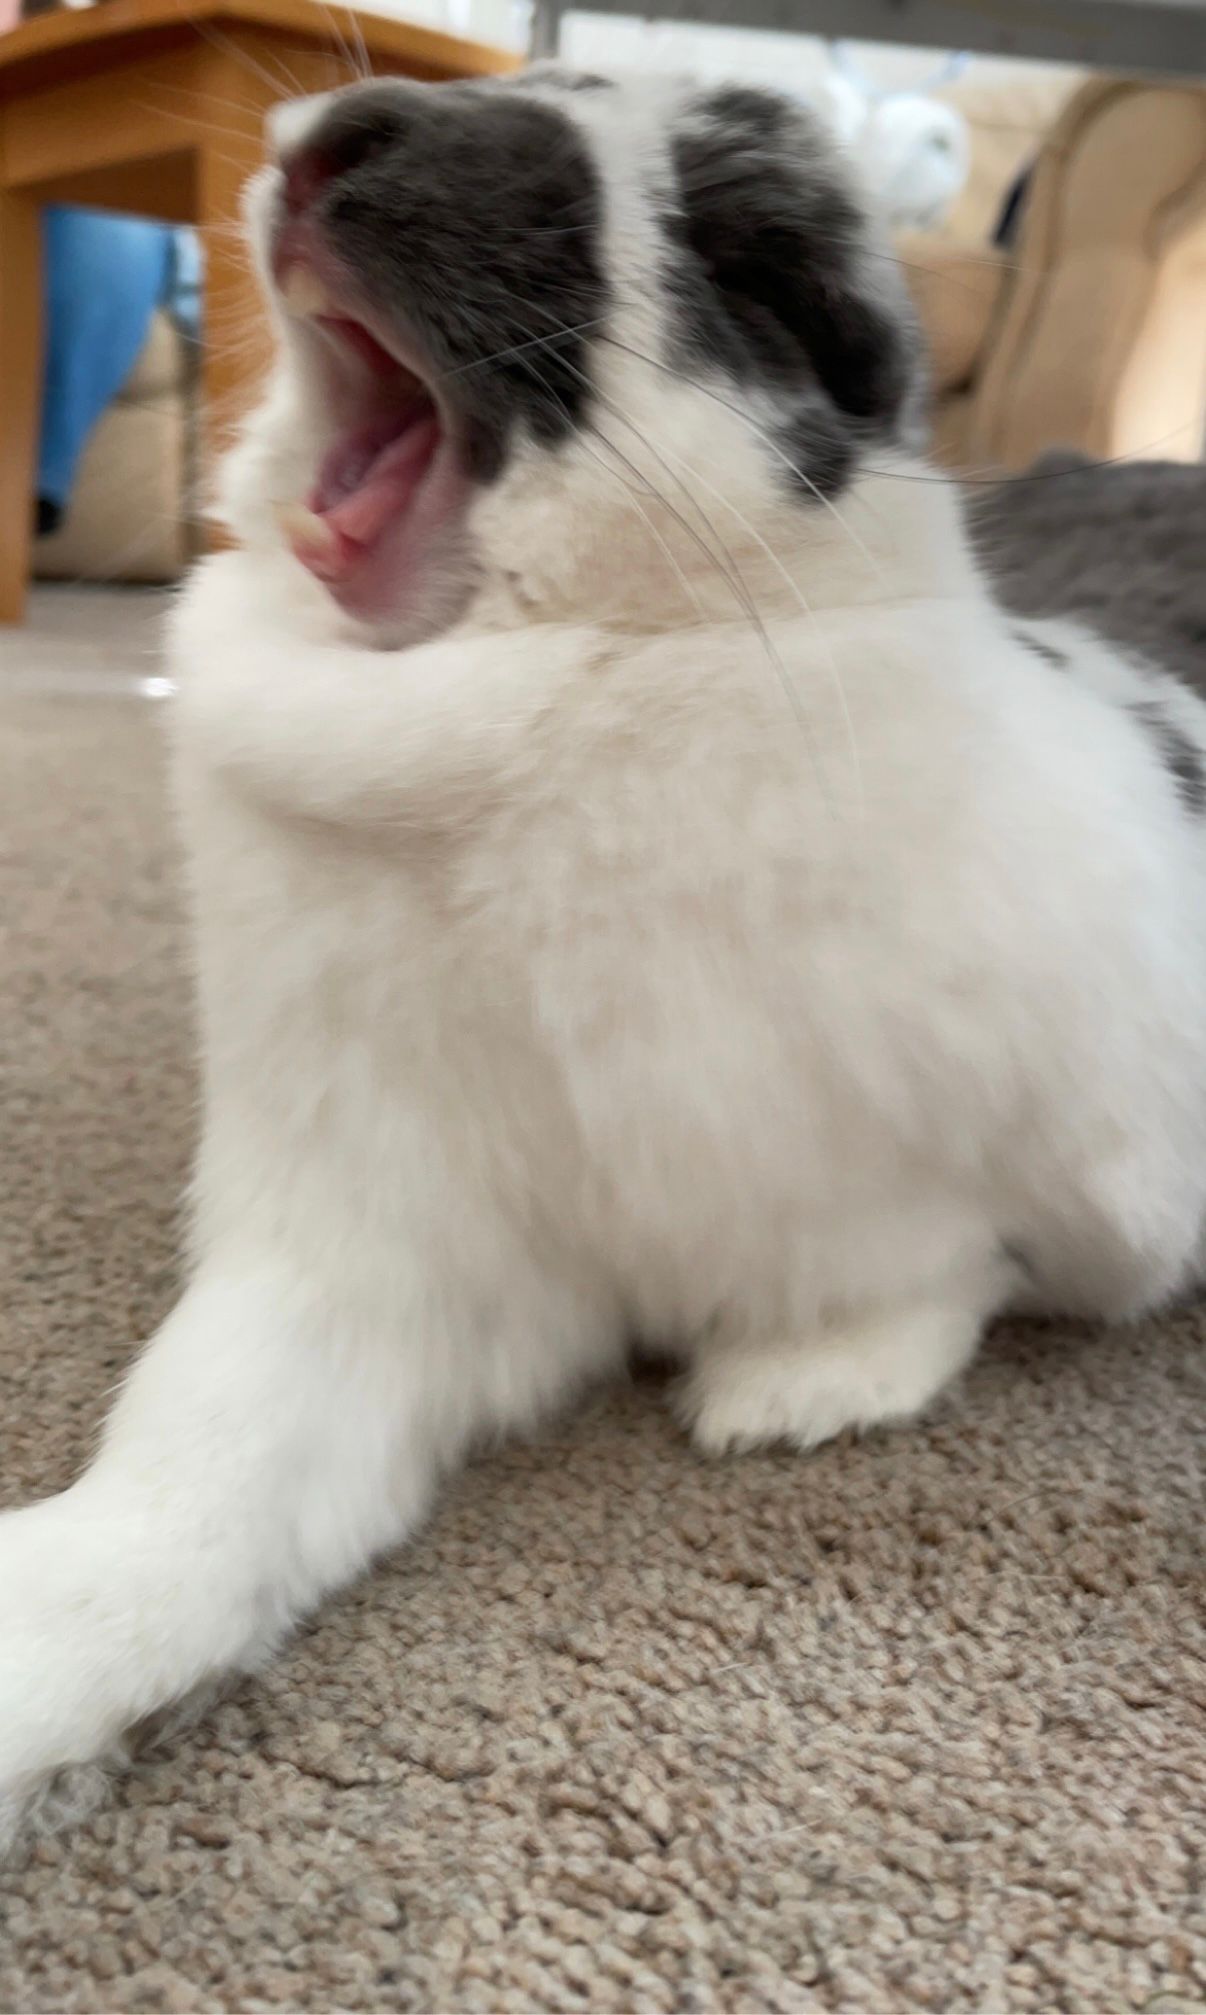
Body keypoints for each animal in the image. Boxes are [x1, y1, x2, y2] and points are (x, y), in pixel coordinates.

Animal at [4, 65, 1206, 1854]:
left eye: (746, 246)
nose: (346, 131)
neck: (584, 686)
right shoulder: (366, 1249)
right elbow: (200, 1460)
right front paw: (42, 1664)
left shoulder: (1068, 1155)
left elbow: (948, 1266)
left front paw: (795, 1389)